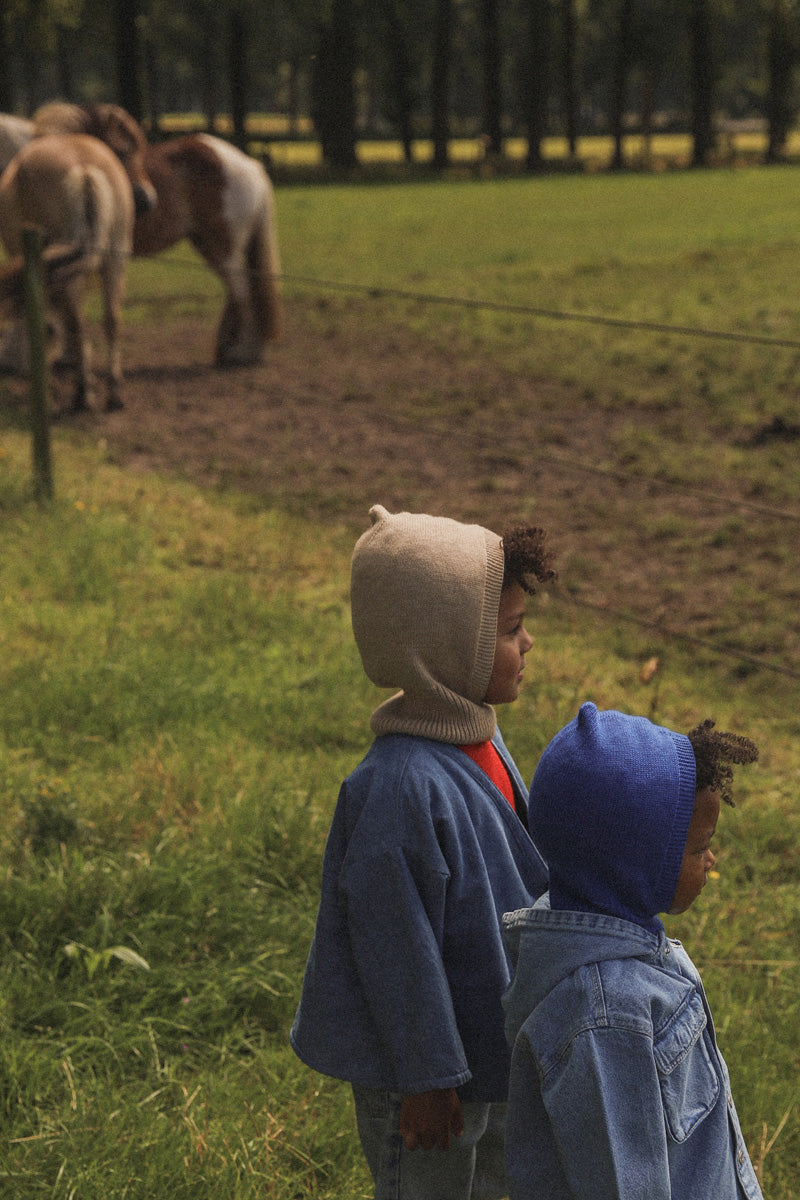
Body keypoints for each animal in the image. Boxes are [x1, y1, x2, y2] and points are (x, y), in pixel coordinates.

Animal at [0, 135, 136, 412]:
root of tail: (84, 169)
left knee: (67, 326)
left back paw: (79, 396)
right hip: (114, 260)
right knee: (111, 321)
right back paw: (113, 394)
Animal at [136, 132, 286, 364]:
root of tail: (249, 164)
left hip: (222, 250)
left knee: (242, 293)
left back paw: (244, 351)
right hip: (211, 247)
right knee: (238, 292)